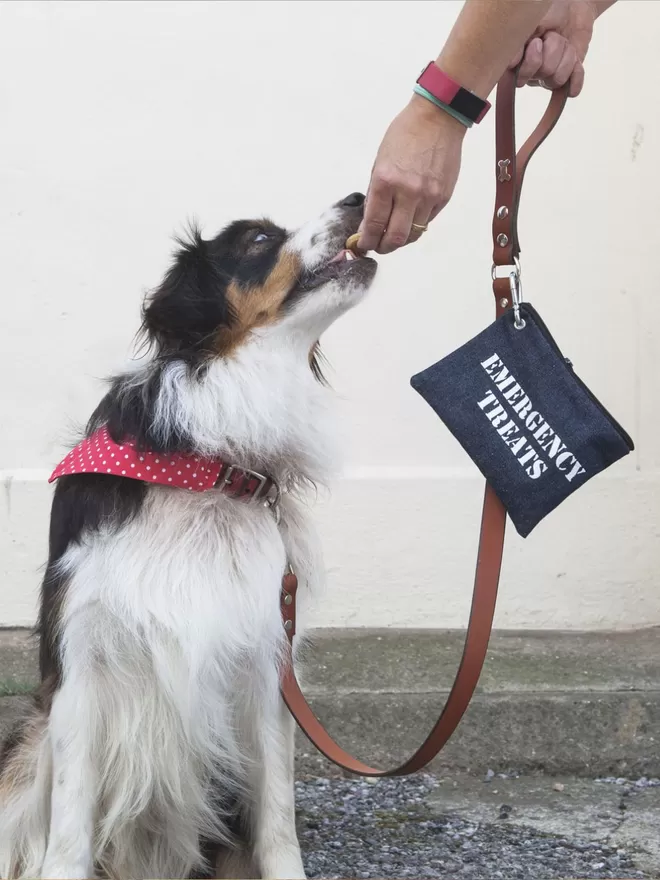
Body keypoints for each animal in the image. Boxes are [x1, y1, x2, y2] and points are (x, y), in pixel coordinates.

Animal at [0, 192, 376, 880]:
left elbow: (277, 818)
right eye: (258, 239)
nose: (358, 197)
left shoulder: (266, 661)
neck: (208, 465)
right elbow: (68, 826)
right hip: (25, 751)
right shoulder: (80, 661)